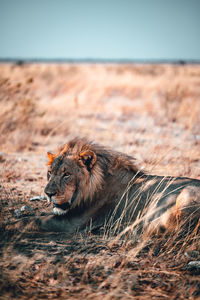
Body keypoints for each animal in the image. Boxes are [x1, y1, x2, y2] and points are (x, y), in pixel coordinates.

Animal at [39, 137, 200, 236]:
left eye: (67, 174)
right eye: (50, 173)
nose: (48, 193)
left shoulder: (75, 222)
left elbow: (37, 220)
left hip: (186, 195)